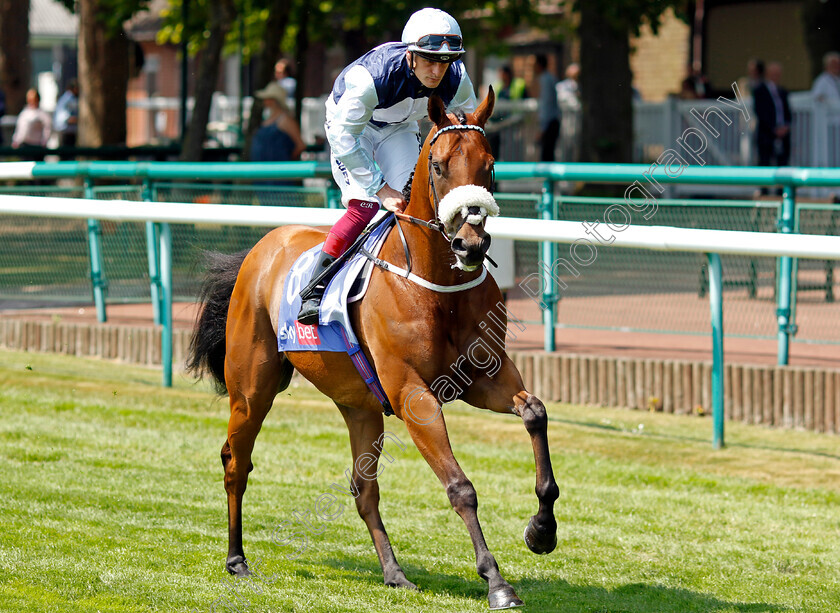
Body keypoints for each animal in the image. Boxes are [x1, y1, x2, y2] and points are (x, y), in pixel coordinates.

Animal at [188, 88, 560, 608]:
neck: (436, 283)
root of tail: (260, 248)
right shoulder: (413, 395)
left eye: (489, 165)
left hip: (359, 406)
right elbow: (460, 487)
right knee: (235, 462)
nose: (470, 243)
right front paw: (497, 582)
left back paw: (394, 572)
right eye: (439, 165)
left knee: (363, 489)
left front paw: (541, 530)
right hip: (252, 389)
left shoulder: (484, 378)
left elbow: (535, 412)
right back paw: (236, 558)